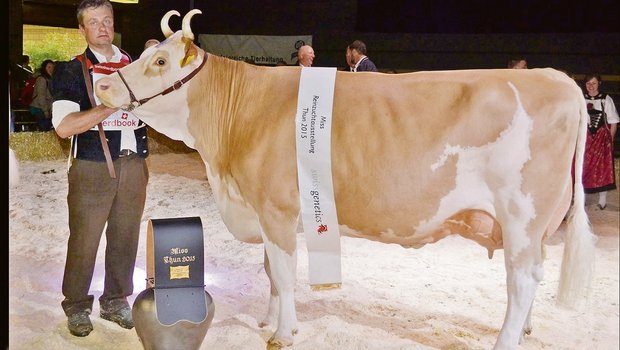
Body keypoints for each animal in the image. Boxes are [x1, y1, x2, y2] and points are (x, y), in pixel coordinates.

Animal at [95, 9, 596, 348]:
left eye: (160, 62)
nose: (102, 84)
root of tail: (557, 78)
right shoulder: (267, 213)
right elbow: (271, 273)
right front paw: (269, 320)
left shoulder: (275, 208)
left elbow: (282, 273)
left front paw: (283, 333)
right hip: (535, 225)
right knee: (532, 276)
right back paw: (525, 328)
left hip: (521, 216)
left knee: (522, 279)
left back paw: (506, 339)